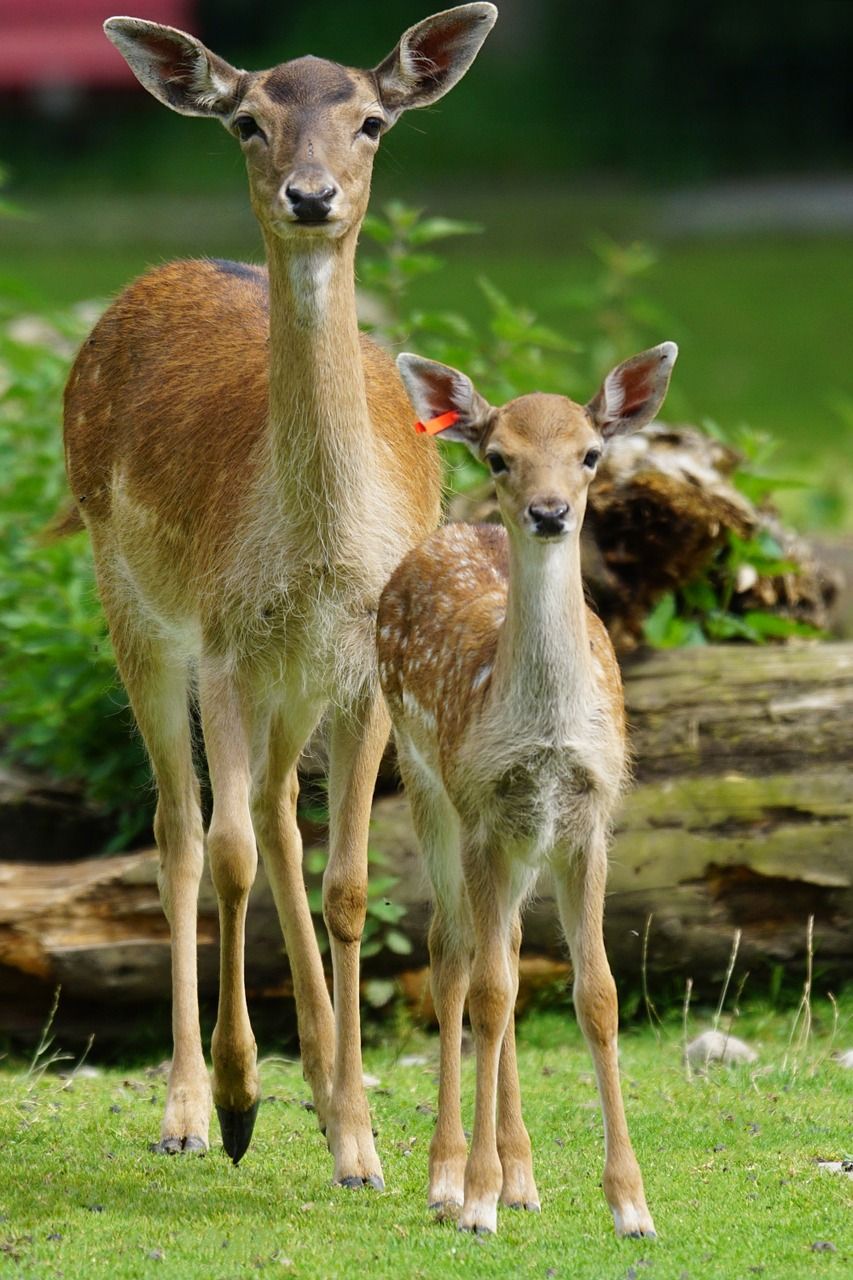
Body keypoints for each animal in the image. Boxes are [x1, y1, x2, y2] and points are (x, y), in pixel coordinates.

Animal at [59, 2, 494, 1177]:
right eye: (247, 120)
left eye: (374, 120)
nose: (311, 195)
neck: (319, 554)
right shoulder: (221, 636)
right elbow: (226, 852)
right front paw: (240, 1096)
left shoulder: (365, 665)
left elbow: (348, 883)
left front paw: (356, 1137)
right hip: (129, 600)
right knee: (182, 830)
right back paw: (188, 1106)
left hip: (292, 678)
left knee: (275, 817)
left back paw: (326, 1087)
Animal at [376, 345, 676, 1233]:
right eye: (497, 456)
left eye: (591, 454)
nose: (548, 512)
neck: (544, 733)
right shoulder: (480, 805)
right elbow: (485, 989)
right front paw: (474, 1199)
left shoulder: (588, 819)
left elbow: (598, 994)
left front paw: (630, 1204)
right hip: (424, 779)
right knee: (454, 956)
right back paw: (451, 1177)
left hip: (519, 839)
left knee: (503, 949)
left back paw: (522, 1176)